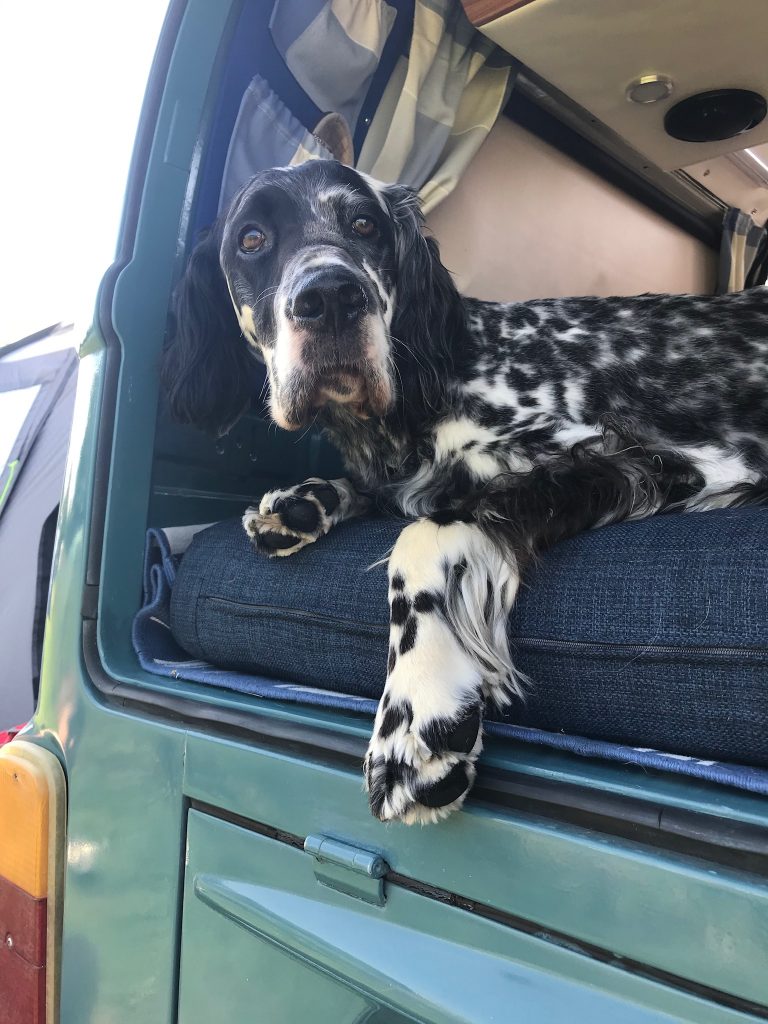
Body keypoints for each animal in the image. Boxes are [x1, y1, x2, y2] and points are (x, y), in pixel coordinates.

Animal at [163, 159, 768, 825]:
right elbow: (379, 493)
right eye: (252, 239)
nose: (331, 297)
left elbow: (426, 530)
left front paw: (416, 705)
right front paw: (300, 502)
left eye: (365, 224)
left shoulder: (681, 461)